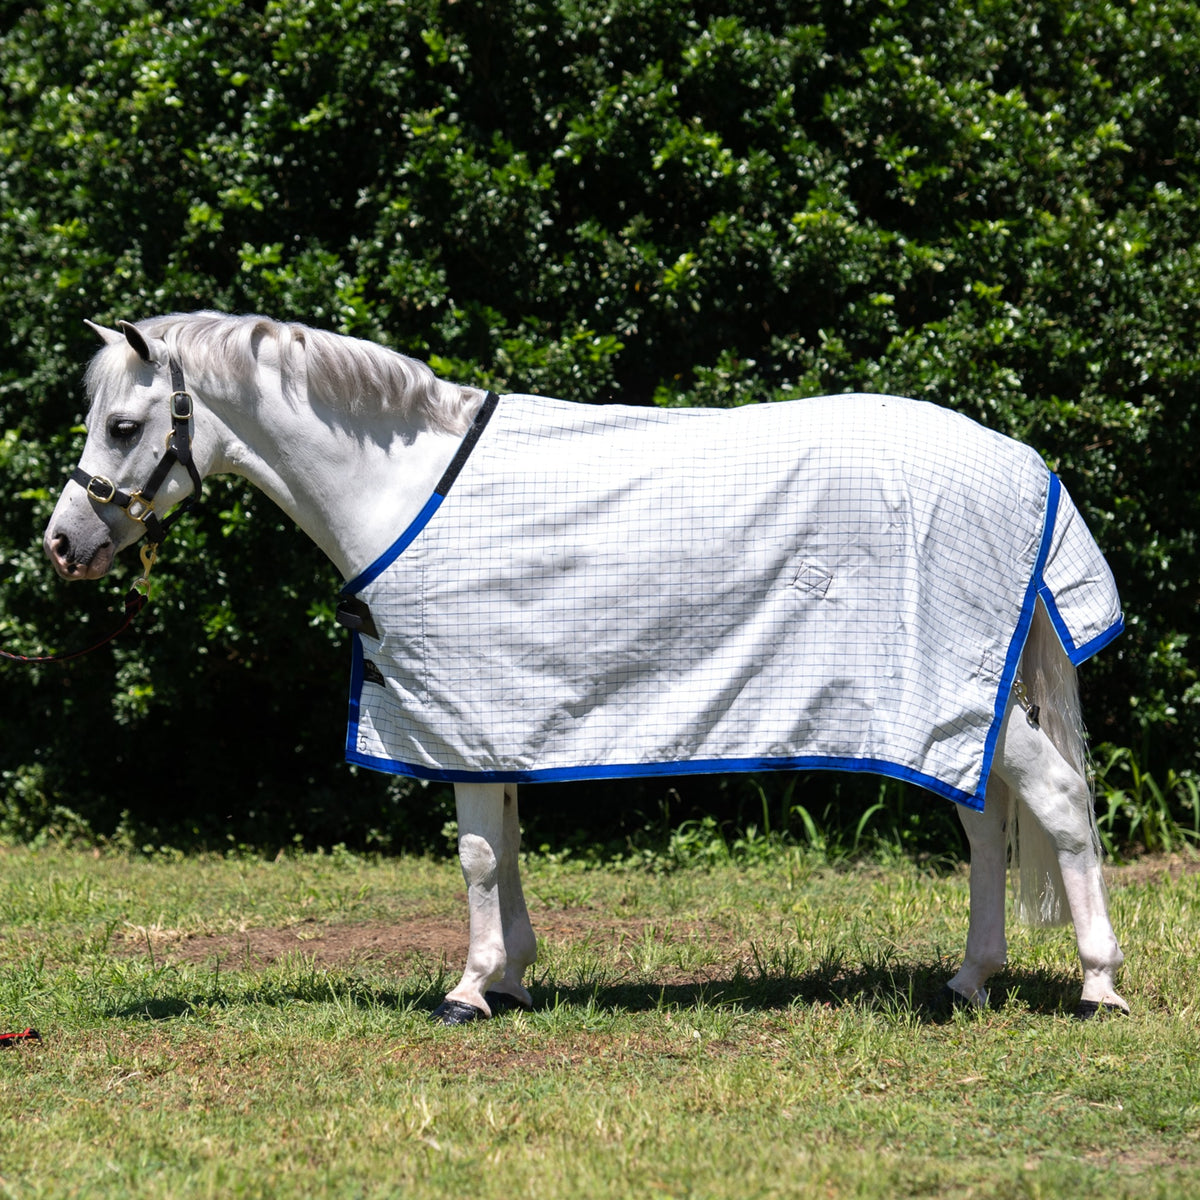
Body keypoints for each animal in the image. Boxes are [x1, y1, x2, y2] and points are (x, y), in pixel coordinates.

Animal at [43, 312, 1128, 1023]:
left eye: (126, 427)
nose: (60, 544)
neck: (402, 486)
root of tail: (1022, 462)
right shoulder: (493, 717)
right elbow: (509, 844)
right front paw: (514, 976)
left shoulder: (461, 708)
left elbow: (478, 855)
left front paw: (469, 990)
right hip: (945, 701)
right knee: (985, 821)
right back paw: (971, 979)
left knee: (1058, 803)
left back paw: (1098, 984)